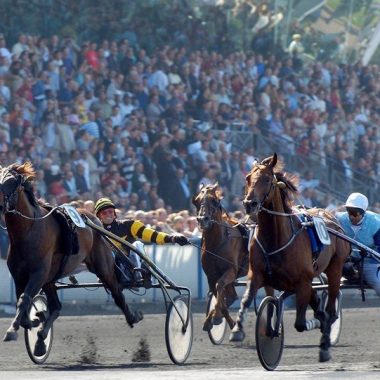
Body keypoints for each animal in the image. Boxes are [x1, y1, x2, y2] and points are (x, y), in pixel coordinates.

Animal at [0, 162, 142, 354]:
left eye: (11, 182)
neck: (28, 231)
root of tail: (92, 219)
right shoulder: (19, 275)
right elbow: (23, 302)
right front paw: (34, 320)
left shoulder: (38, 273)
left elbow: (24, 300)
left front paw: (12, 330)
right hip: (50, 279)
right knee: (56, 307)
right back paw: (40, 341)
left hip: (102, 266)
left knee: (116, 292)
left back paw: (133, 316)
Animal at [191, 184, 248, 332]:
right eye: (197, 200)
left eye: (214, 200)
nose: (202, 219)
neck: (217, 242)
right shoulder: (211, 275)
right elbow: (219, 296)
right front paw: (211, 320)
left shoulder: (231, 271)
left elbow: (220, 285)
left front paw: (216, 317)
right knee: (231, 296)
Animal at [229, 154, 350, 362]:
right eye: (247, 178)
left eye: (266, 179)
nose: (249, 203)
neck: (276, 238)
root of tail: (331, 217)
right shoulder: (258, 275)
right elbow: (247, 299)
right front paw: (238, 330)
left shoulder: (303, 281)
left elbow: (301, 323)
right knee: (317, 304)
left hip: (335, 269)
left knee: (330, 309)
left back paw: (325, 345)